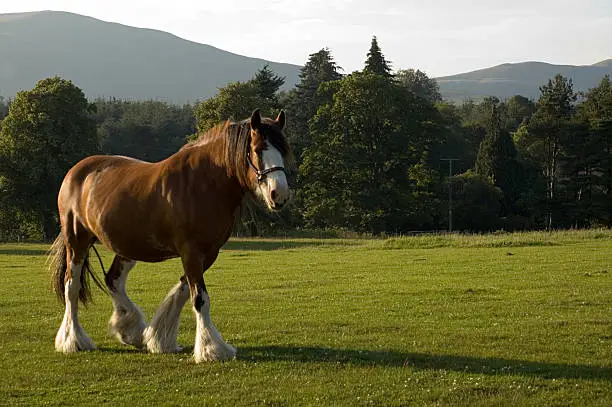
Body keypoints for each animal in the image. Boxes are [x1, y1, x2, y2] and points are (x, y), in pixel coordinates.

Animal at [47, 109, 292, 364]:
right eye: (258, 149)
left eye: (283, 150)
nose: (279, 194)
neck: (203, 183)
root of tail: (76, 171)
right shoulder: (191, 252)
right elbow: (200, 298)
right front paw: (211, 349)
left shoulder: (207, 253)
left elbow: (184, 291)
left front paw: (160, 338)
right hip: (77, 241)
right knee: (71, 286)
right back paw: (74, 340)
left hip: (127, 247)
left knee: (113, 280)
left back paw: (131, 330)